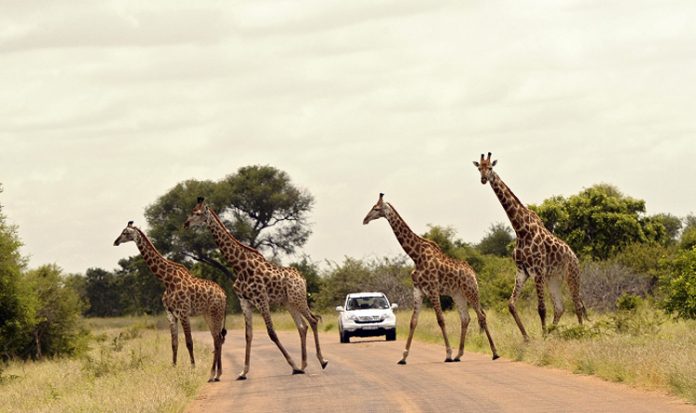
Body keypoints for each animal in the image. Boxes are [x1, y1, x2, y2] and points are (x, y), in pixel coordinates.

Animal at [111, 220, 226, 382]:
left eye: (125, 233)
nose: (116, 242)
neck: (167, 280)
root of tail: (224, 294)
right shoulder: (171, 314)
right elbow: (174, 343)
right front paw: (173, 368)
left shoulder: (183, 313)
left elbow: (189, 342)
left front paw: (193, 368)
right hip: (208, 315)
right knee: (217, 339)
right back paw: (217, 373)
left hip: (216, 313)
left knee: (217, 339)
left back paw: (214, 374)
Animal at [184, 196, 328, 380]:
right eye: (191, 211)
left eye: (197, 213)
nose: (186, 223)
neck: (239, 266)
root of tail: (301, 278)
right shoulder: (245, 302)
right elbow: (248, 335)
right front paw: (243, 372)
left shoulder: (261, 299)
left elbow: (271, 332)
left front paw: (293, 365)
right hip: (288, 303)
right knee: (302, 326)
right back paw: (304, 365)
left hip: (298, 298)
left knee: (313, 320)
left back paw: (321, 361)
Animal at [362, 194, 498, 364]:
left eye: (376, 208)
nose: (365, 219)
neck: (416, 256)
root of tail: (472, 272)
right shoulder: (418, 290)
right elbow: (413, 321)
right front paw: (403, 357)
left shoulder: (432, 289)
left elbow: (440, 320)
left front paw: (447, 354)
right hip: (457, 294)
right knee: (465, 318)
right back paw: (459, 355)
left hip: (471, 291)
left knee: (482, 316)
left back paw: (494, 353)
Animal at [474, 153, 588, 340]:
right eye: (479, 168)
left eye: (490, 167)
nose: (483, 179)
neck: (520, 230)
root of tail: (575, 256)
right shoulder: (522, 271)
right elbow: (511, 304)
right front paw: (527, 337)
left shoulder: (537, 271)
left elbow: (541, 308)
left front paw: (542, 337)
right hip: (553, 278)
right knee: (560, 307)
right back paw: (553, 331)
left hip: (571, 274)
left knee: (577, 304)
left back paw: (579, 332)